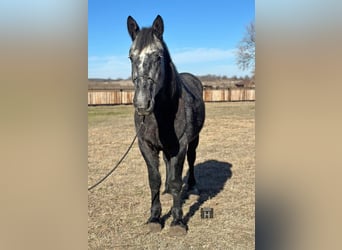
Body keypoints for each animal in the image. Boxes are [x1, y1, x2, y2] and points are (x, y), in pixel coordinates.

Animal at [126, 15, 204, 234]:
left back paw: (192, 185)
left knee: (191, 160)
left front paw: (177, 221)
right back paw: (167, 190)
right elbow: (154, 180)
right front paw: (154, 218)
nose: (142, 104)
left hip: (194, 140)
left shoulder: (181, 145)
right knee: (168, 164)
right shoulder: (146, 146)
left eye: (158, 57)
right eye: (131, 57)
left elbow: (178, 181)